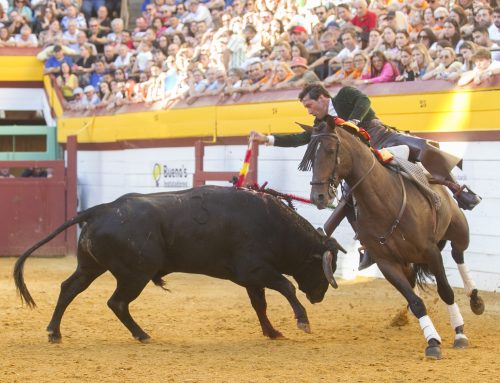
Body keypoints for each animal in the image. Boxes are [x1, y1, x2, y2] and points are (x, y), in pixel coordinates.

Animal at [14, 185, 344, 342]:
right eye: (325, 267)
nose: (319, 297)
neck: (273, 224)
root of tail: (102, 209)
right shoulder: (255, 270)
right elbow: (287, 287)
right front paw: (302, 321)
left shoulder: (252, 278)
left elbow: (260, 305)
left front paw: (272, 332)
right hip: (136, 274)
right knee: (117, 302)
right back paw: (142, 334)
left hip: (90, 267)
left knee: (69, 289)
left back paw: (54, 332)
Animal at [304, 123, 484, 360]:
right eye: (309, 155)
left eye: (331, 151)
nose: (318, 196)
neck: (385, 204)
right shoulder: (386, 263)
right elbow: (415, 302)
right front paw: (432, 341)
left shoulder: (431, 252)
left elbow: (446, 291)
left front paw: (460, 333)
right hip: (407, 261)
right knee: (415, 280)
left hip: (459, 231)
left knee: (458, 253)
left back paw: (475, 299)